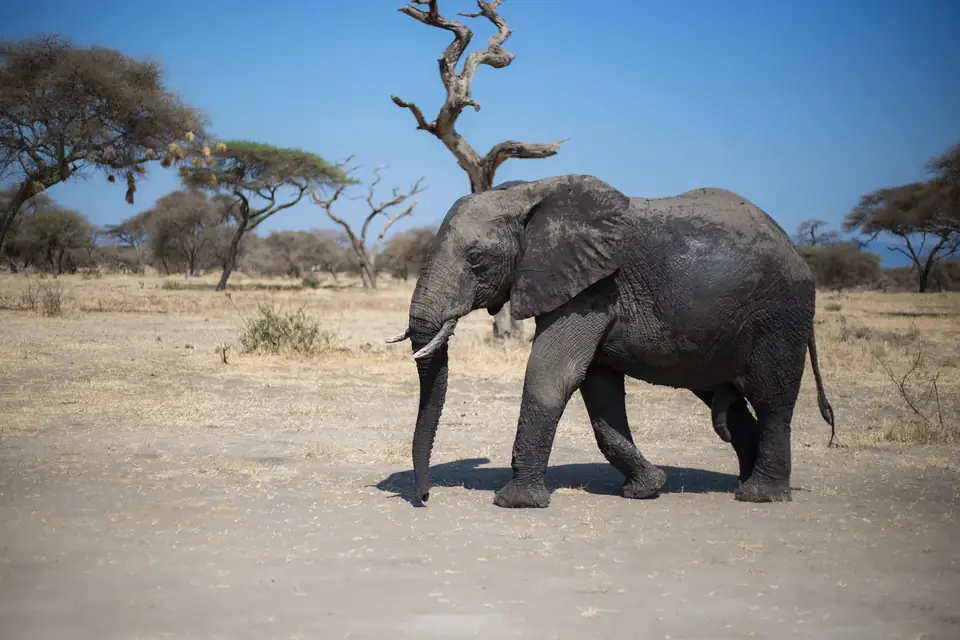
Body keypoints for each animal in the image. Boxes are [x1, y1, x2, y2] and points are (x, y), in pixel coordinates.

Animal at [386, 174, 836, 509]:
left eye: (476, 259)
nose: (424, 497)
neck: (529, 192)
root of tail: (795, 249)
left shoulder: (594, 287)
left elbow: (552, 373)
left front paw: (516, 502)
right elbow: (598, 389)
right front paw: (647, 488)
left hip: (780, 314)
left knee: (772, 398)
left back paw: (760, 495)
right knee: (728, 400)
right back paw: (743, 481)